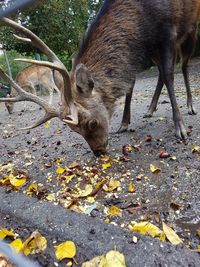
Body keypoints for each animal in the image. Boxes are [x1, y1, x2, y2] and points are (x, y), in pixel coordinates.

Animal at [0, 0, 200, 156]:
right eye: (74, 130)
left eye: (92, 123)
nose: (99, 152)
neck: (142, 21)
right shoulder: (140, 50)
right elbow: (130, 84)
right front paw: (123, 124)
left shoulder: (167, 33)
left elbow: (169, 76)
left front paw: (180, 128)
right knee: (160, 73)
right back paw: (150, 109)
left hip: (189, 31)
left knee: (182, 67)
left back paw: (190, 106)